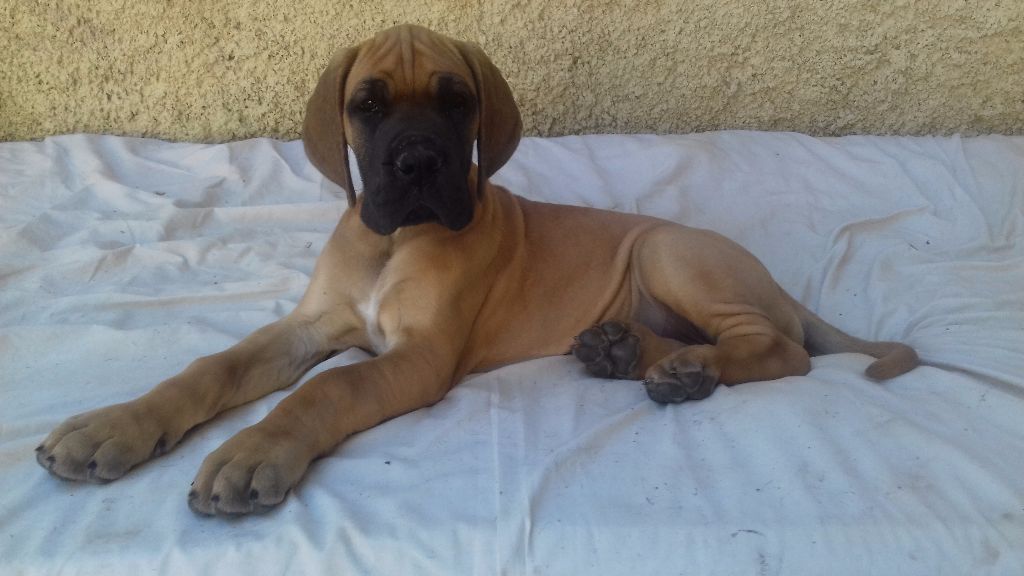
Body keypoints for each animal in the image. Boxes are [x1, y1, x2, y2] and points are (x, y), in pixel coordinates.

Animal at [35, 24, 919, 516]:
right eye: (367, 106)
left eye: (457, 102)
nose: (418, 164)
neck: (393, 240)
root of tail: (776, 283)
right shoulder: (307, 327)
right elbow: (211, 366)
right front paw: (111, 427)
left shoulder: (419, 355)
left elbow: (328, 389)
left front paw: (255, 452)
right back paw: (634, 355)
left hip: (669, 250)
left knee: (783, 348)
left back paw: (685, 367)